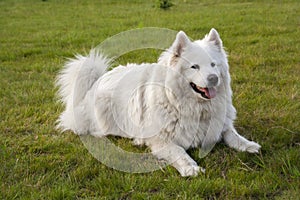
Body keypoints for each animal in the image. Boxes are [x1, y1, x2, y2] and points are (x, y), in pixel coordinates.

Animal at [56, 28, 260, 177]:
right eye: (194, 66)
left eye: (213, 65)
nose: (213, 78)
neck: (195, 108)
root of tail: (97, 80)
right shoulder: (161, 140)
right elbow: (179, 152)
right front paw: (191, 168)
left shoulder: (220, 125)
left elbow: (232, 134)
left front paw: (248, 145)